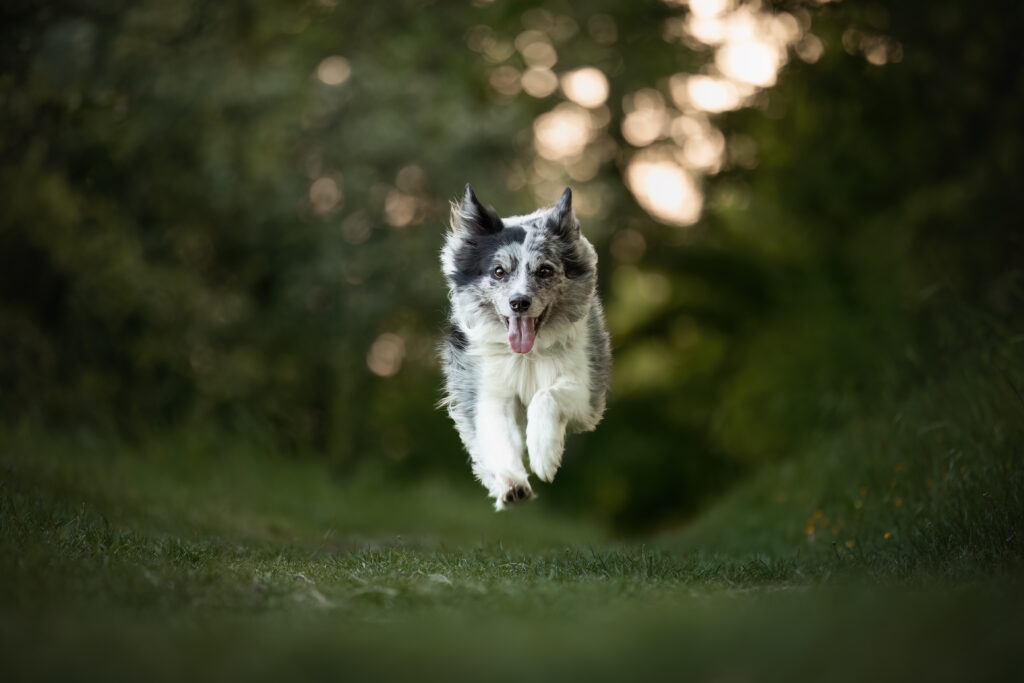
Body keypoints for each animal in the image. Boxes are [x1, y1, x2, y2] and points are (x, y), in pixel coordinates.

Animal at [438, 185, 606, 507]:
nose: (519, 302)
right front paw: (511, 483)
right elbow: (497, 434)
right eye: (499, 272)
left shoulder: (585, 393)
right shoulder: (488, 390)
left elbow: (547, 395)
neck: (528, 356)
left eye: (544, 271)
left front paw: (544, 457)